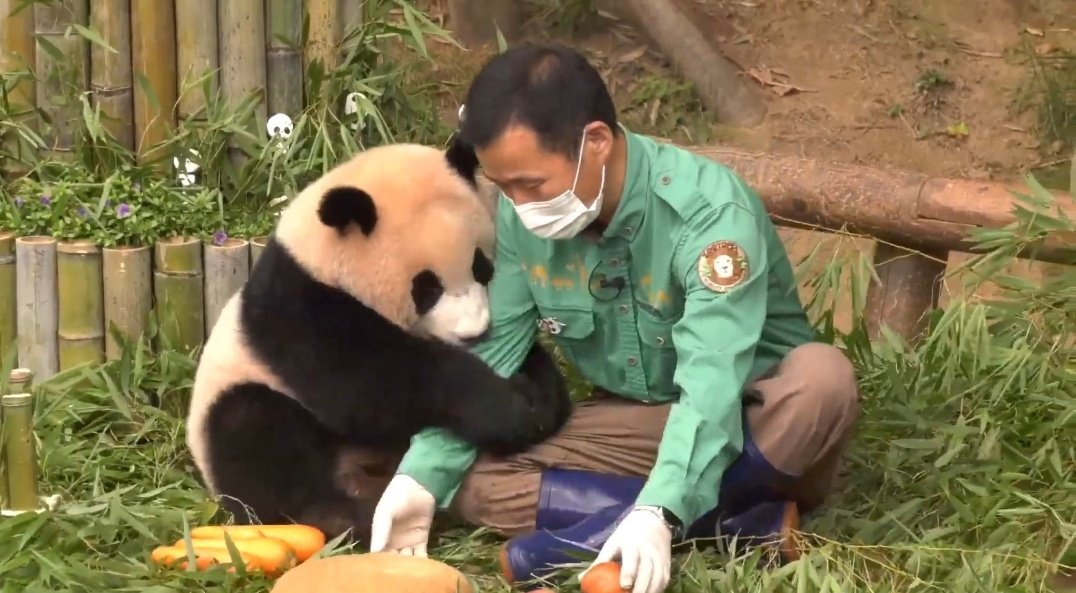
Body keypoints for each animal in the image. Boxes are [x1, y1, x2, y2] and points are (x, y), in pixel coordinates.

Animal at [185, 139, 572, 546]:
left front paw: (538, 399)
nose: (474, 333)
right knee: (253, 433)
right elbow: (367, 387)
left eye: (483, 267)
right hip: (236, 398)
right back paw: (341, 517)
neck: (321, 254)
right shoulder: (300, 307)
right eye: (426, 289)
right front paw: (507, 409)